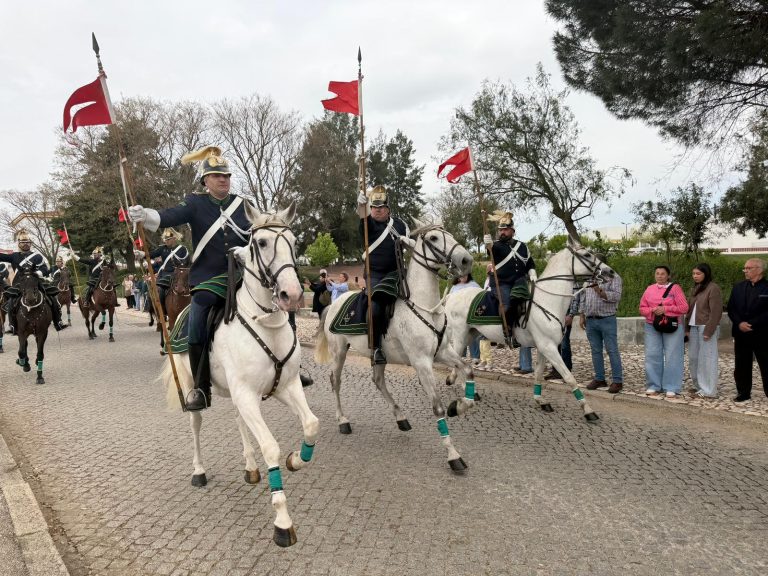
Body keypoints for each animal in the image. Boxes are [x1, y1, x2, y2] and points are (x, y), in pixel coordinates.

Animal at [160, 202, 318, 548]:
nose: (291, 294)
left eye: (293, 241)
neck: (266, 324)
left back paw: (249, 467)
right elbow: (269, 446)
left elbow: (311, 425)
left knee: (238, 419)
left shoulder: (286, 387)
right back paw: (199, 471)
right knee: (195, 426)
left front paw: (296, 460)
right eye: (261, 242)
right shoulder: (248, 394)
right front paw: (282, 522)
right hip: (194, 387)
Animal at [314, 219, 476, 472]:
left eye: (448, 233)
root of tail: (334, 303)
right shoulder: (421, 362)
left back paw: (401, 418)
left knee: (378, 381)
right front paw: (453, 455)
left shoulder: (443, 352)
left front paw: (458, 406)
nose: (466, 260)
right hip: (338, 352)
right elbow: (437, 407)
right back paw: (343, 420)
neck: (426, 307)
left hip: (378, 355)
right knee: (335, 381)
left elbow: (468, 370)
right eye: (433, 238)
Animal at [444, 239, 616, 420]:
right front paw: (588, 410)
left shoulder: (544, 347)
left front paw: (541, 400)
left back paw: (462, 386)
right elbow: (569, 377)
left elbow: (539, 373)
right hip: (460, 334)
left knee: (459, 360)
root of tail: (452, 295)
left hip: (471, 334)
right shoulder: (548, 347)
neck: (548, 300)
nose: (610, 271)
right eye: (587, 255)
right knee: (457, 360)